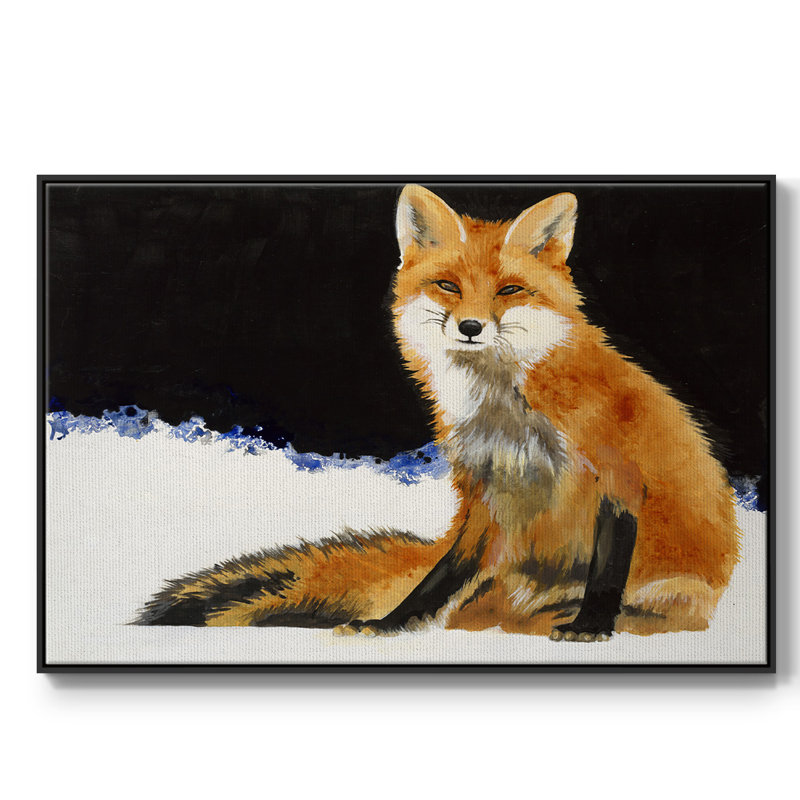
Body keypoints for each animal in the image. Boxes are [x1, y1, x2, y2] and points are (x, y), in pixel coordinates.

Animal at [136, 185, 740, 641]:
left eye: (509, 290)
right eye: (448, 285)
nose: (470, 327)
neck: (507, 411)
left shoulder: (617, 474)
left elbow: (607, 568)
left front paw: (591, 626)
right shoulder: (483, 491)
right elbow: (440, 576)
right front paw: (391, 623)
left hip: (675, 592)